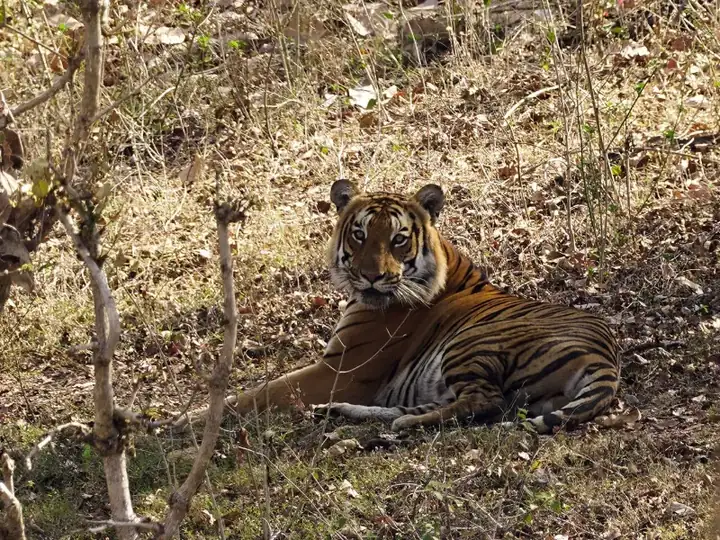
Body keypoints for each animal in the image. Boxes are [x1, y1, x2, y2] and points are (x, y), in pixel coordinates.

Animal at [189, 180, 621, 434]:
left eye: (398, 239)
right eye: (360, 234)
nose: (372, 277)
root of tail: (605, 356)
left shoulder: (339, 369)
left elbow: (260, 392)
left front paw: (185, 421)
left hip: (470, 344)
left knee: (485, 403)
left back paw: (401, 421)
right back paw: (344, 412)